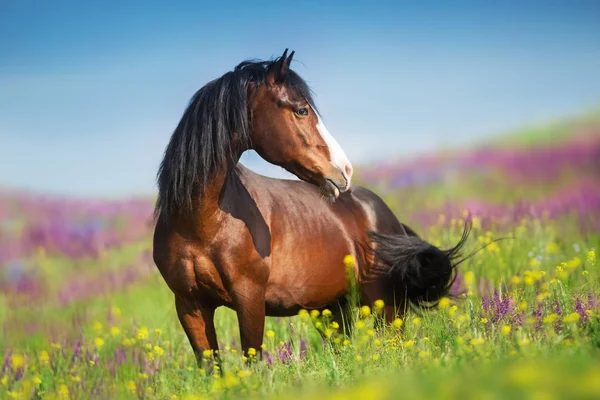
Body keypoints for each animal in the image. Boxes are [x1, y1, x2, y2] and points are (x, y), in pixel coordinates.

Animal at [152, 48, 472, 364]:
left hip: (387, 308)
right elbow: (210, 366)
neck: (202, 223)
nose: (345, 170)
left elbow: (252, 361)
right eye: (301, 110)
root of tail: (388, 218)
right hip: (332, 309)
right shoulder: (190, 306)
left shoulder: (249, 299)